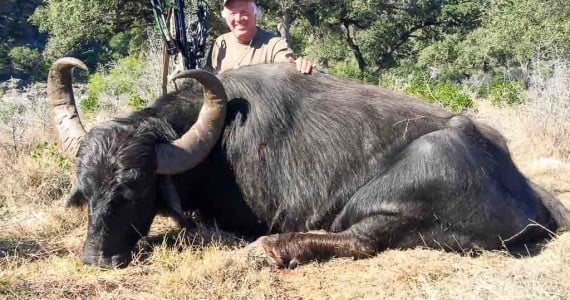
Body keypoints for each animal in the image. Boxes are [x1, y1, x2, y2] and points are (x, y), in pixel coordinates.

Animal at [46, 57, 564, 268]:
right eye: (86, 191)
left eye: (134, 186)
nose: (96, 259)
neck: (219, 142)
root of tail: (531, 195)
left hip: (412, 174)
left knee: (359, 239)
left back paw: (268, 251)